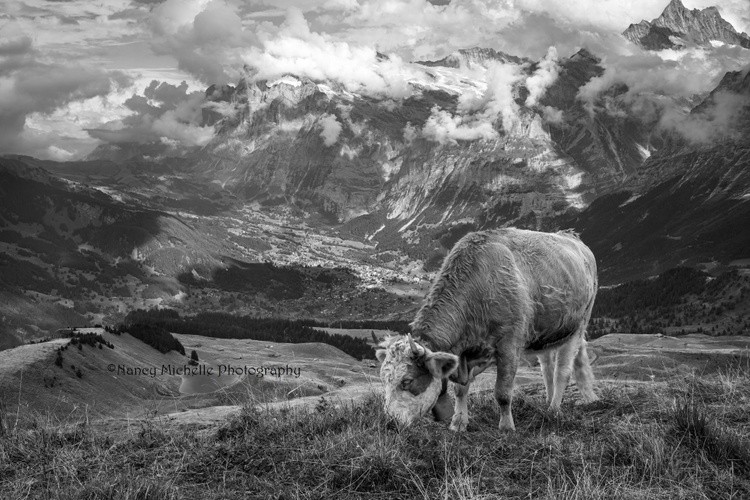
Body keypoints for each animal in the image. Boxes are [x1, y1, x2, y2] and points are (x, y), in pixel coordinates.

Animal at [378, 229, 604, 432]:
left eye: (407, 381)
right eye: (383, 380)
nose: (390, 423)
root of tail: (572, 237)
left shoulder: (509, 345)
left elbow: (502, 392)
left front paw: (506, 427)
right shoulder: (468, 354)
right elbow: (460, 390)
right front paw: (458, 423)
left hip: (579, 323)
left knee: (561, 372)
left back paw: (554, 410)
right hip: (546, 332)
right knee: (547, 368)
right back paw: (551, 402)